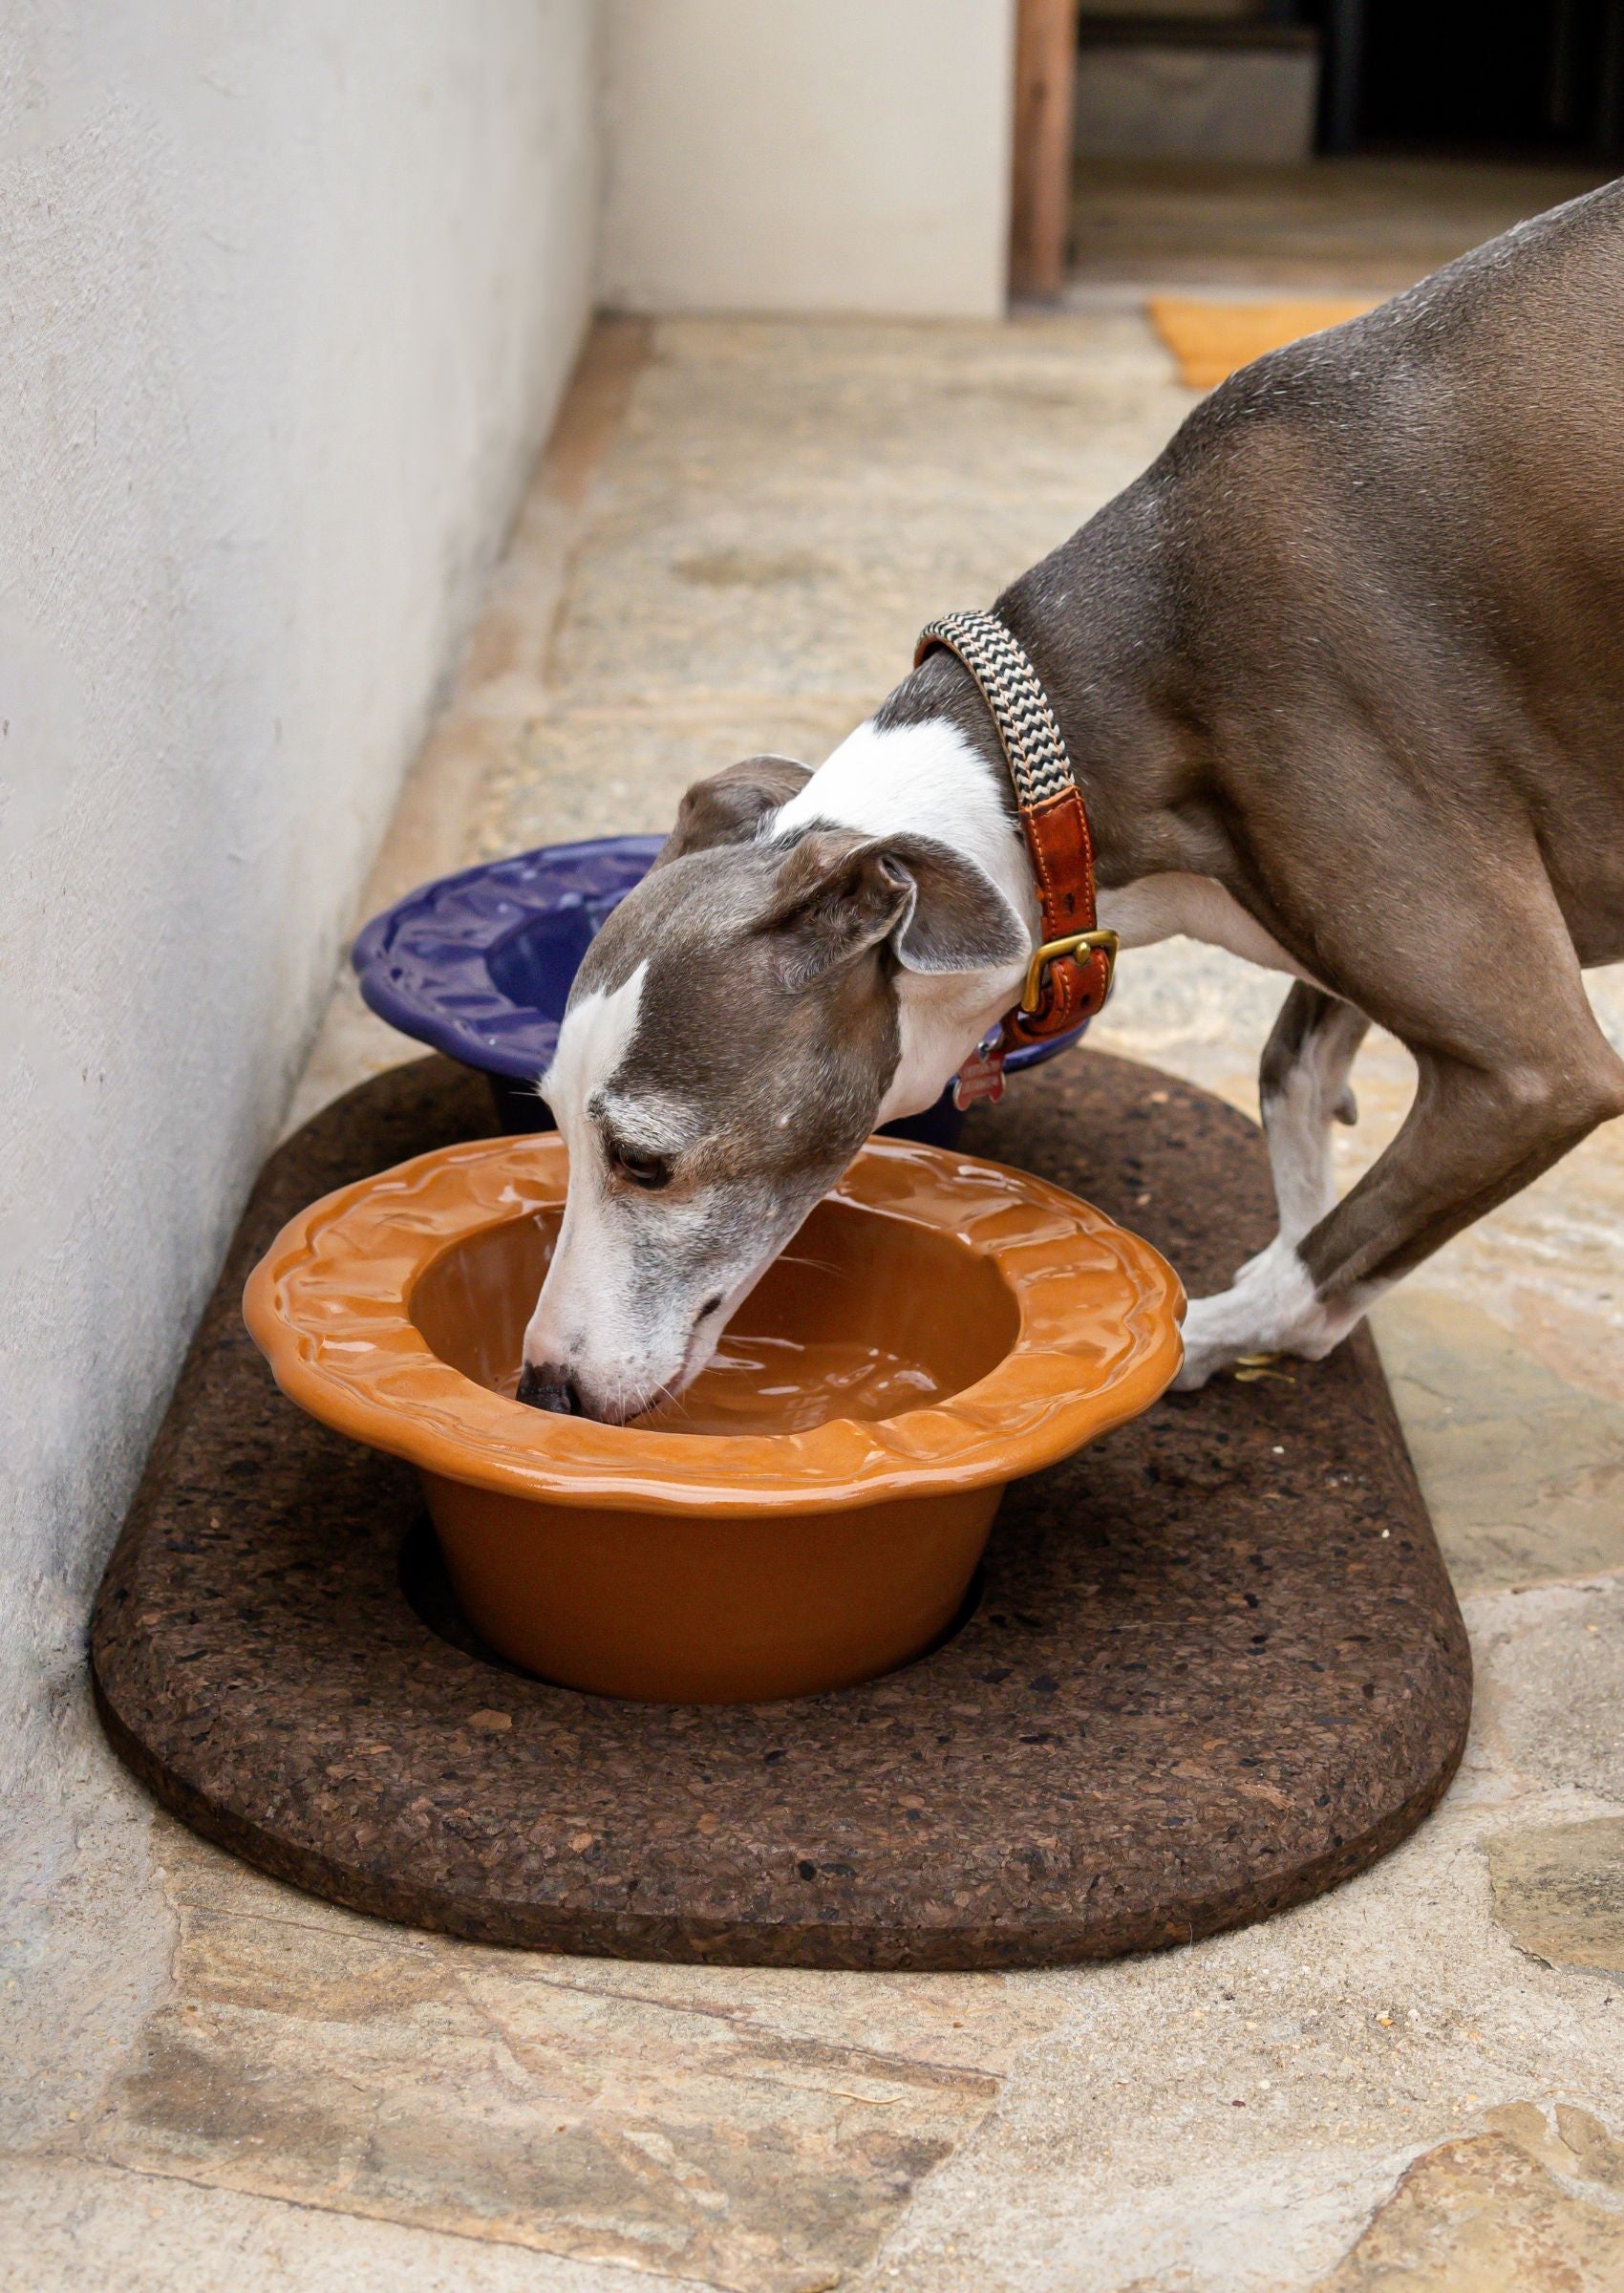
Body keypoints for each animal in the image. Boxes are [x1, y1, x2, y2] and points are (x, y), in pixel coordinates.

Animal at [513, 183, 1624, 1430]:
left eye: (644, 1161)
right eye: (546, 1117)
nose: (542, 1387)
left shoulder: (1532, 1073)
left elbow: (1296, 1281)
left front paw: (1210, 1337)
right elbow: (1289, 1074)